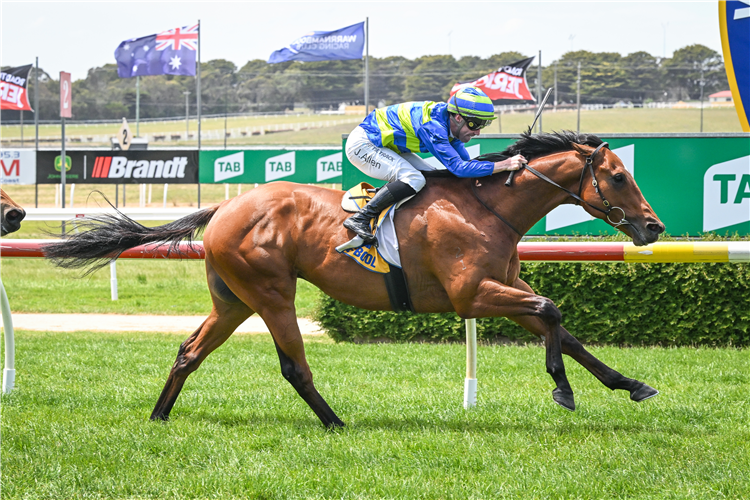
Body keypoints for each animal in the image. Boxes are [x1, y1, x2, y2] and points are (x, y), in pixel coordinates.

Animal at [44, 131, 664, 428]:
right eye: (616, 175)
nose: (653, 226)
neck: (486, 208)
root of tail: (224, 207)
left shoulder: (504, 292)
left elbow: (561, 325)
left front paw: (629, 383)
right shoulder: (472, 295)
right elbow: (553, 310)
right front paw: (562, 388)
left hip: (233, 301)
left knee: (189, 351)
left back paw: (159, 414)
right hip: (271, 292)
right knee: (293, 365)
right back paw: (336, 422)